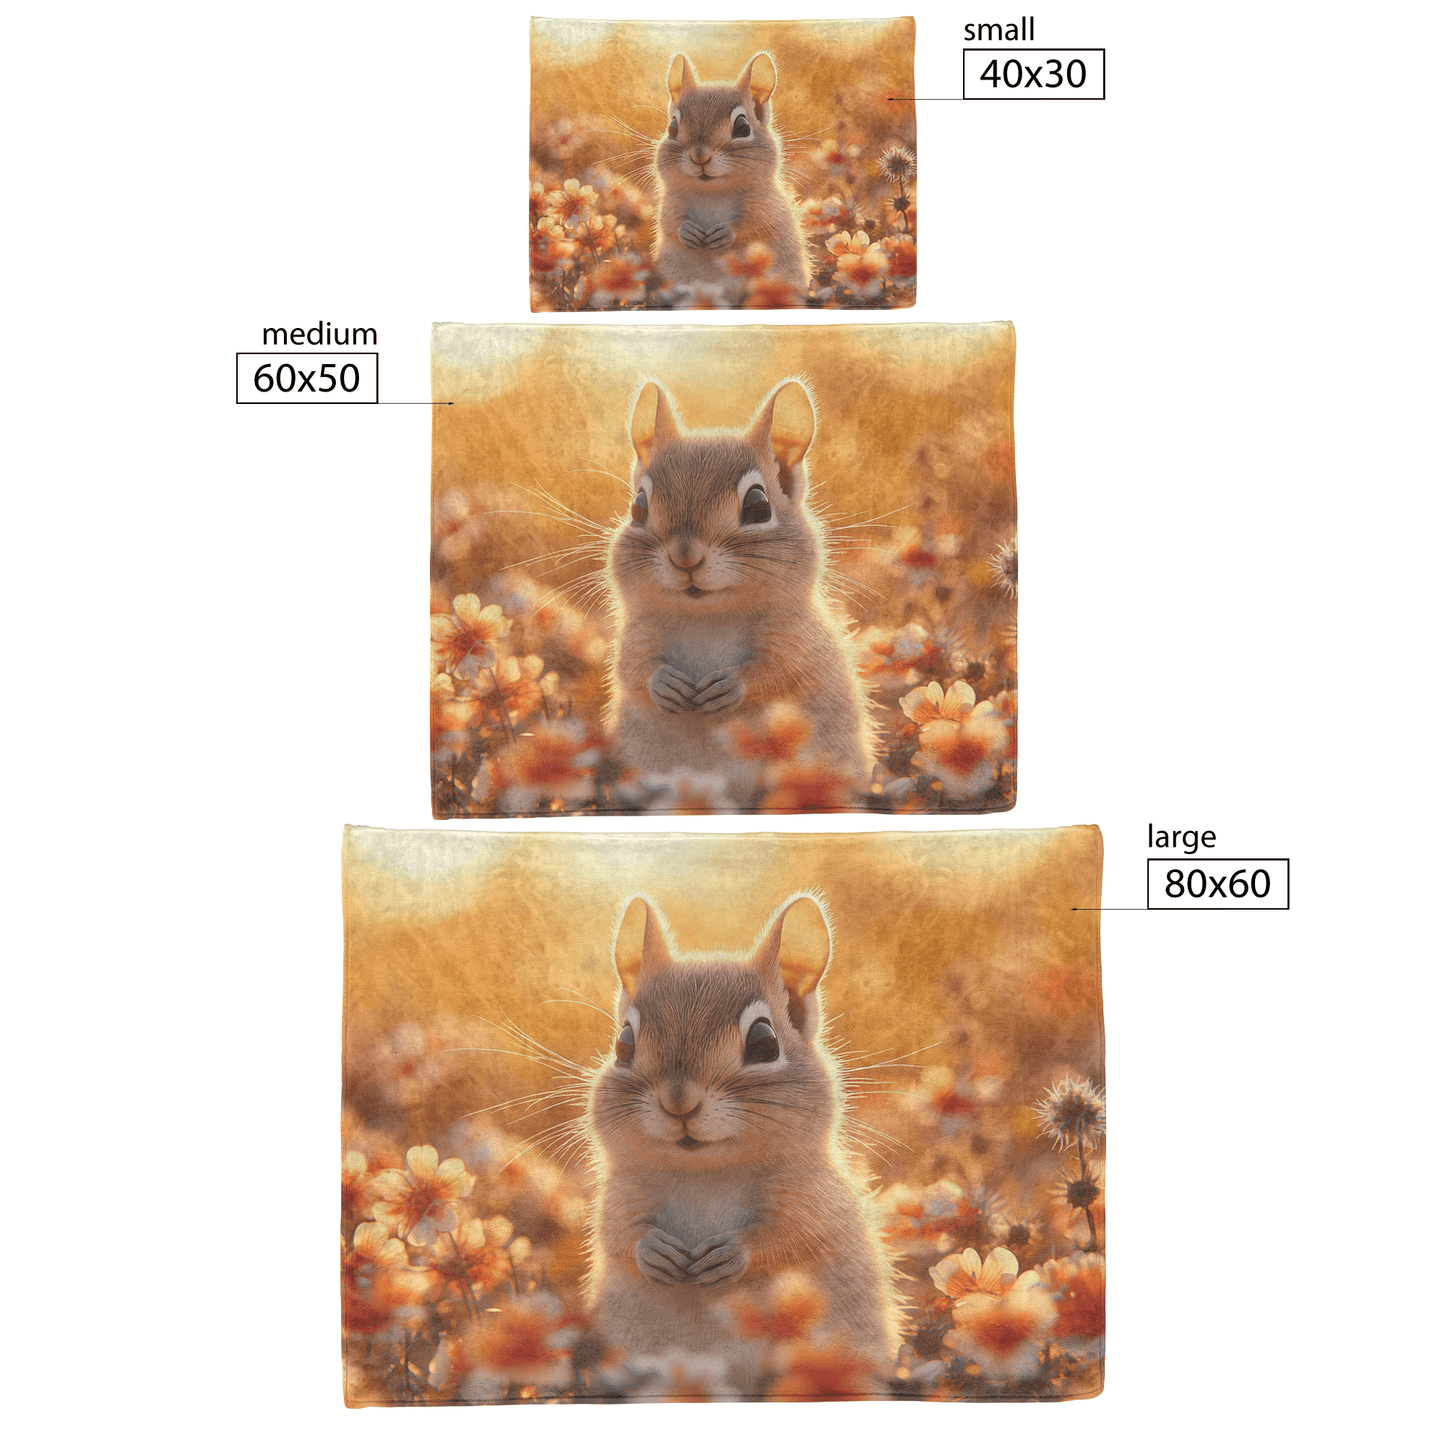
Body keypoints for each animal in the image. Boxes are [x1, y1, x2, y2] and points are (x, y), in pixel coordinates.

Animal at [584, 893, 902, 1368]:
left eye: (764, 1043)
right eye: (624, 1044)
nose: (678, 1101)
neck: (706, 1173)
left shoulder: (812, 1199)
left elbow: (789, 1236)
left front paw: (732, 1253)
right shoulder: (622, 1192)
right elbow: (618, 1231)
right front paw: (653, 1251)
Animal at [602, 379, 875, 792]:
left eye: (758, 506)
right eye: (638, 507)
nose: (685, 557)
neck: (708, 617)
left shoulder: (798, 640)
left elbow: (780, 672)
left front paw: (732, 685)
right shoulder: (638, 634)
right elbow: (631, 667)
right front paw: (663, 684)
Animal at [652, 51, 810, 297]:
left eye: (743, 127)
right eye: (672, 127)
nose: (699, 156)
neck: (713, 192)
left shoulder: (765, 204)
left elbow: (755, 224)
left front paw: (726, 233)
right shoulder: (671, 201)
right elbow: (668, 221)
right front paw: (686, 231)